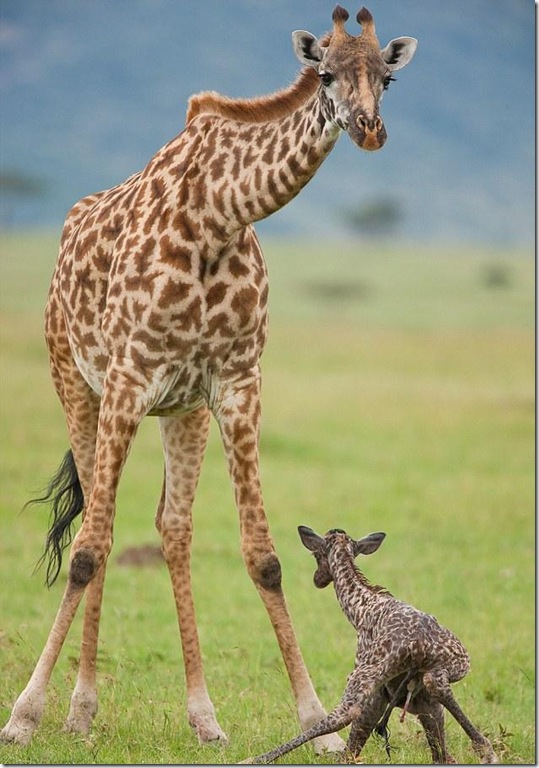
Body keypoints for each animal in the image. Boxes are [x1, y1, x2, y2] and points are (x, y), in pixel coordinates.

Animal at [0, 6, 417, 751]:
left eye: (388, 78)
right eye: (325, 73)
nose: (369, 129)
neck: (221, 213)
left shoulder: (237, 383)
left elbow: (264, 556)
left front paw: (317, 723)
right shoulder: (130, 377)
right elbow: (88, 549)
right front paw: (25, 713)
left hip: (182, 411)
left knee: (171, 529)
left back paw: (202, 714)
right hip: (76, 385)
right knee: (96, 528)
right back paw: (80, 708)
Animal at [244, 527, 498, 765]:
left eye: (316, 554)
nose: (317, 579)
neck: (360, 608)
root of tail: (418, 645)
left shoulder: (372, 683)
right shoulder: (418, 699)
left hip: (364, 677)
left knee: (342, 715)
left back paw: (255, 758)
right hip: (456, 665)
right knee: (438, 694)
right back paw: (487, 751)